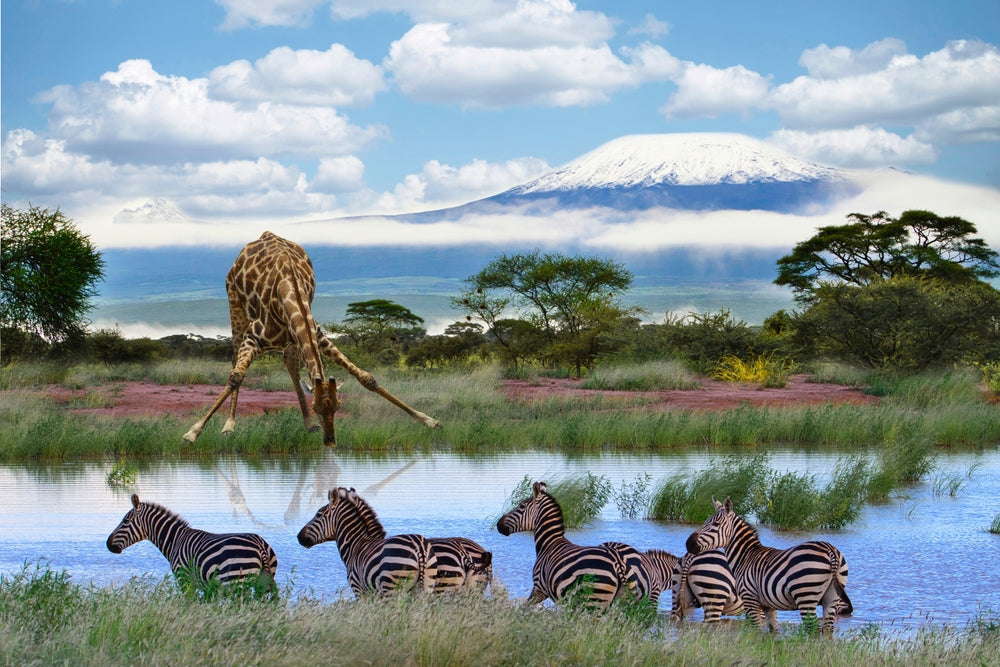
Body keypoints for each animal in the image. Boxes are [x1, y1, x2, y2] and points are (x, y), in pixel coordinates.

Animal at [182, 232, 439, 447]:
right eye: (316, 406)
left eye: (337, 406)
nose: (330, 443)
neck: (289, 290)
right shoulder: (253, 338)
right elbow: (236, 376)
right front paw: (194, 432)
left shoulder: (318, 336)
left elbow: (367, 379)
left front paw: (428, 420)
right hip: (235, 307)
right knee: (235, 359)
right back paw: (229, 425)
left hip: (291, 341)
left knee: (291, 365)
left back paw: (307, 424)